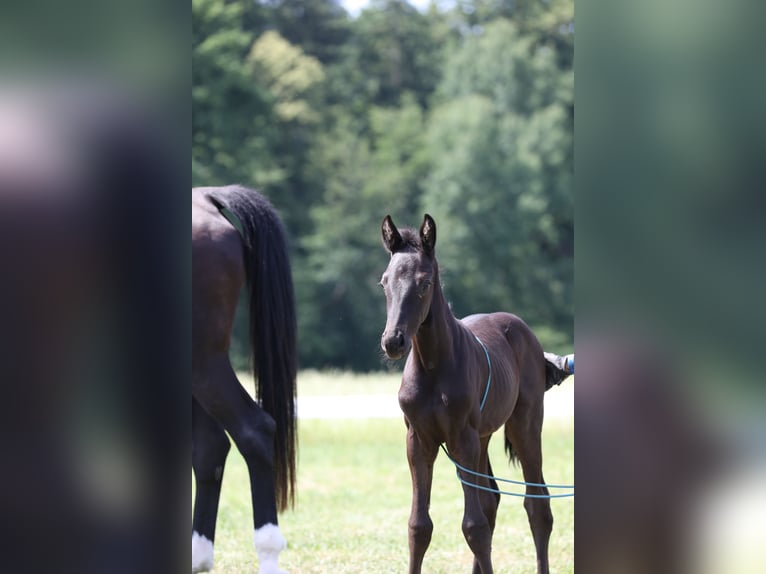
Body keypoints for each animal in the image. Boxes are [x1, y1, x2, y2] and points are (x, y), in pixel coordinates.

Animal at [379, 214, 571, 574]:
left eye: (424, 283)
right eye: (384, 282)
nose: (393, 341)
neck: (433, 367)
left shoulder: (461, 437)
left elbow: (473, 525)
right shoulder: (419, 440)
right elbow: (419, 526)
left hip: (523, 425)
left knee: (537, 505)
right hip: (482, 437)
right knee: (491, 499)